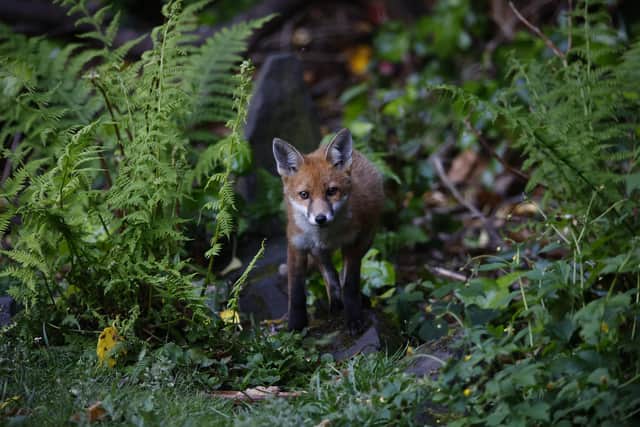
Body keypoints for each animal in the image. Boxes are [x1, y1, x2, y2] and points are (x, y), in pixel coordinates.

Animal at [272, 128, 384, 332]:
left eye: (331, 191)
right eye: (304, 195)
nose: (320, 218)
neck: (324, 236)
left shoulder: (353, 244)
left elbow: (350, 285)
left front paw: (354, 318)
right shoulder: (296, 246)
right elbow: (296, 294)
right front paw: (295, 326)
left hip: (367, 239)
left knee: (340, 275)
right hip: (317, 251)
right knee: (328, 273)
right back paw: (334, 301)